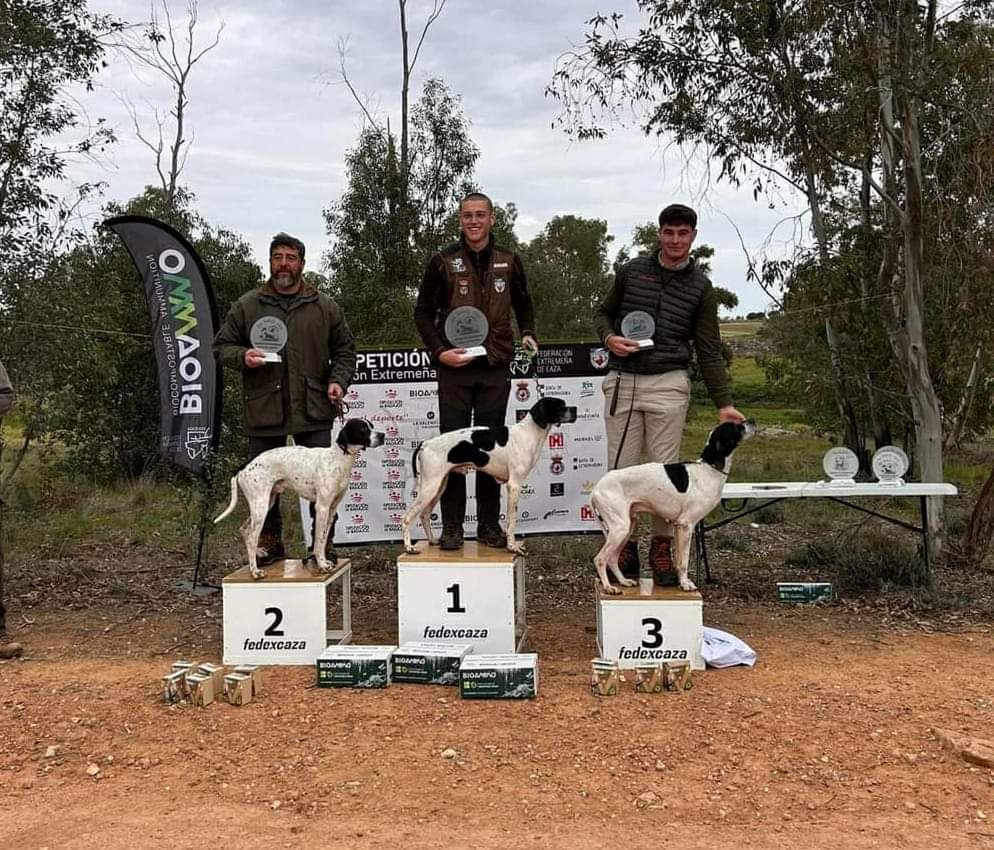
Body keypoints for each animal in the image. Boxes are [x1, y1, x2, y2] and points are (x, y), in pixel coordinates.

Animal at [214, 416, 384, 576]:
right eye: (363, 429)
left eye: (372, 426)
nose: (382, 435)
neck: (337, 459)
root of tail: (244, 467)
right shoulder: (322, 507)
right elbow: (317, 542)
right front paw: (321, 564)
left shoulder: (331, 509)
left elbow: (322, 540)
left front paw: (324, 561)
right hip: (260, 507)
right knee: (251, 537)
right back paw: (254, 571)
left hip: (266, 503)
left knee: (244, 529)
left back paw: (259, 553)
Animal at [402, 398, 576, 556]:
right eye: (559, 406)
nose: (574, 409)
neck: (529, 432)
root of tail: (426, 444)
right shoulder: (514, 485)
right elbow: (512, 521)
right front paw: (512, 547)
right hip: (430, 487)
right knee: (406, 518)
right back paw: (409, 548)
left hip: (438, 486)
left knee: (424, 515)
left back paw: (432, 541)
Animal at [588, 420, 752, 592]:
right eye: (736, 427)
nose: (752, 421)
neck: (708, 470)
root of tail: (595, 489)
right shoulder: (686, 525)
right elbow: (684, 561)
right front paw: (686, 584)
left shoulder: (679, 526)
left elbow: (679, 561)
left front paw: (682, 582)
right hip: (620, 528)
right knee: (600, 559)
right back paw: (608, 587)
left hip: (627, 527)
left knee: (612, 558)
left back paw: (624, 581)